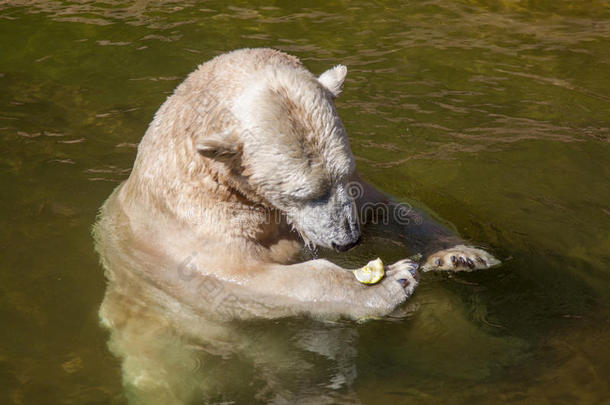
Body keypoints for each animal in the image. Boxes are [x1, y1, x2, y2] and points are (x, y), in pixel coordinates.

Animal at [92, 47, 496, 322]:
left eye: (344, 175)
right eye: (302, 193)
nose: (347, 241)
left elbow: (384, 208)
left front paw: (461, 254)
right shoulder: (194, 232)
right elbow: (241, 279)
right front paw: (393, 280)